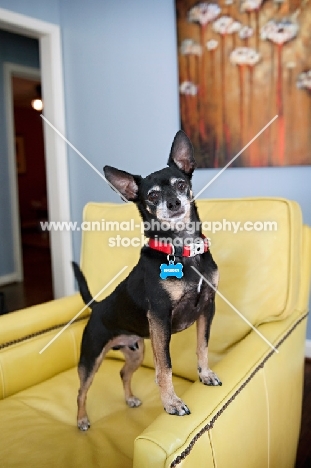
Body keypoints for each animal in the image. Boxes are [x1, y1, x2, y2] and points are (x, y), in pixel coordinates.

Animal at [72, 131, 222, 432]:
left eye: (181, 184)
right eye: (152, 195)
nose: (174, 203)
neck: (183, 250)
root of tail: (98, 306)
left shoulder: (207, 308)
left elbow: (202, 347)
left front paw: (205, 374)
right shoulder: (161, 319)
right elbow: (165, 367)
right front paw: (171, 403)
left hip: (136, 351)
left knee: (122, 372)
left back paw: (129, 399)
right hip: (91, 358)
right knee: (82, 391)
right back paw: (82, 419)